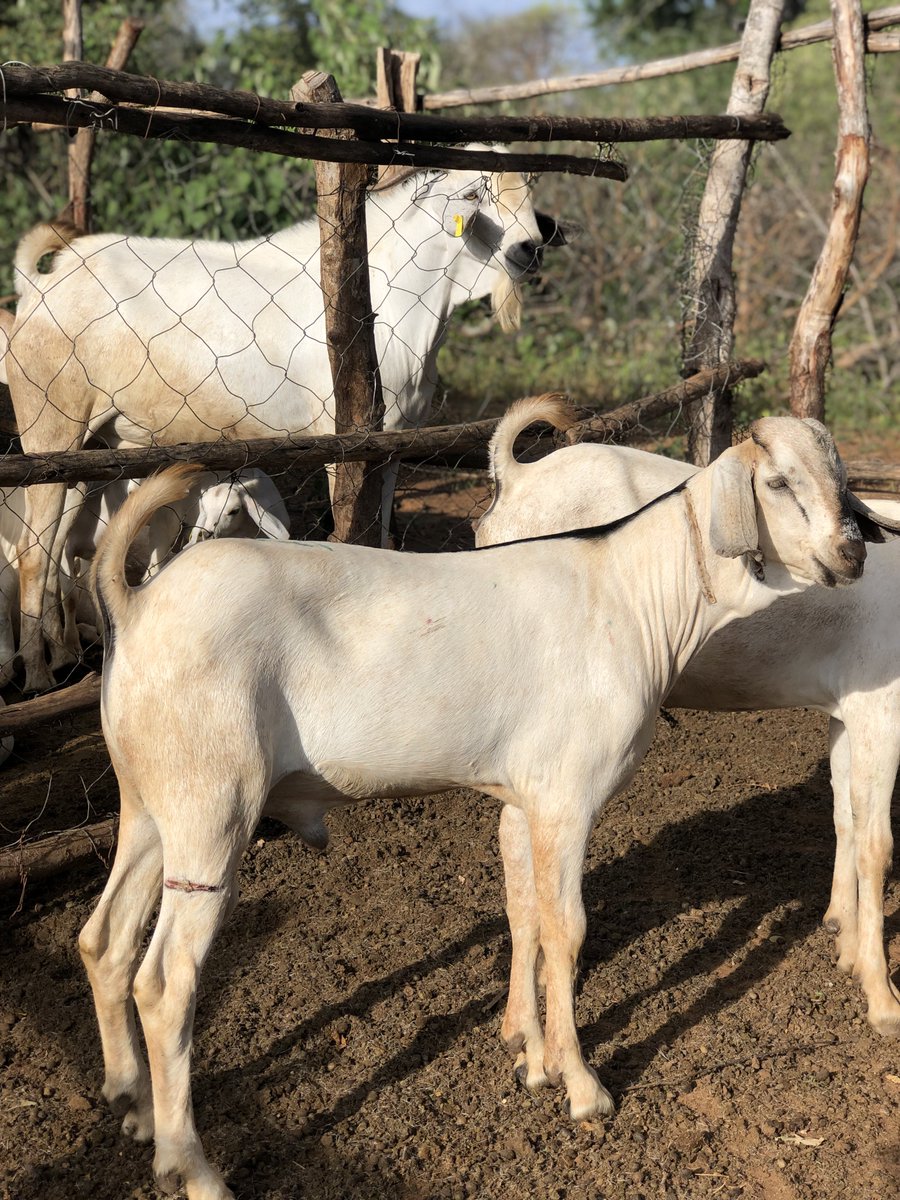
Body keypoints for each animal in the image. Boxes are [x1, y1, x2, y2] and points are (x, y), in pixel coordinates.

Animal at [5, 148, 567, 690]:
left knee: (54, 550)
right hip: (50, 427)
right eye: (474, 193)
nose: (528, 248)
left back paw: (65, 655)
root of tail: (43, 284)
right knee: (32, 555)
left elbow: (384, 531)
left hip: (86, 452)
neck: (397, 296)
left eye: (528, 190)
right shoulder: (346, 442)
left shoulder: (394, 442)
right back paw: (37, 673)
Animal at [81, 413, 869, 1199]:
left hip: (150, 803)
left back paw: (132, 1105)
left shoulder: (523, 799)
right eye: (777, 482)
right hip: (211, 805)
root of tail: (138, 603)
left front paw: (531, 1055)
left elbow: (526, 913)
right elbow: (568, 931)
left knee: (104, 940)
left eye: (841, 478)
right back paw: (191, 1165)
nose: (853, 552)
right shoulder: (567, 798)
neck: (634, 594)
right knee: (165, 983)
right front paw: (582, 1088)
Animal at [477, 394, 900, 1041]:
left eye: (843, 482)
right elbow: (877, 843)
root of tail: (516, 480)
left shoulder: (848, 709)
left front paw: (844, 938)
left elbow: (845, 819)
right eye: (779, 482)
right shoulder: (884, 706)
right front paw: (882, 996)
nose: (851, 555)